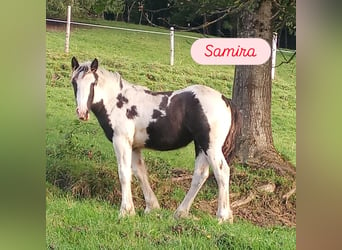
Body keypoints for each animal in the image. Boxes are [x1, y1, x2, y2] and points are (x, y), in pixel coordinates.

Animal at [70, 56, 239, 223]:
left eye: (93, 83)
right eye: (74, 82)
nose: (82, 113)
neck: (116, 102)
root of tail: (225, 99)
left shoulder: (121, 141)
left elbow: (124, 173)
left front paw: (125, 211)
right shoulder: (134, 146)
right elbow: (140, 173)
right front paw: (151, 208)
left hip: (210, 146)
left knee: (222, 172)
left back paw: (223, 217)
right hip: (201, 146)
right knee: (200, 175)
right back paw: (181, 213)